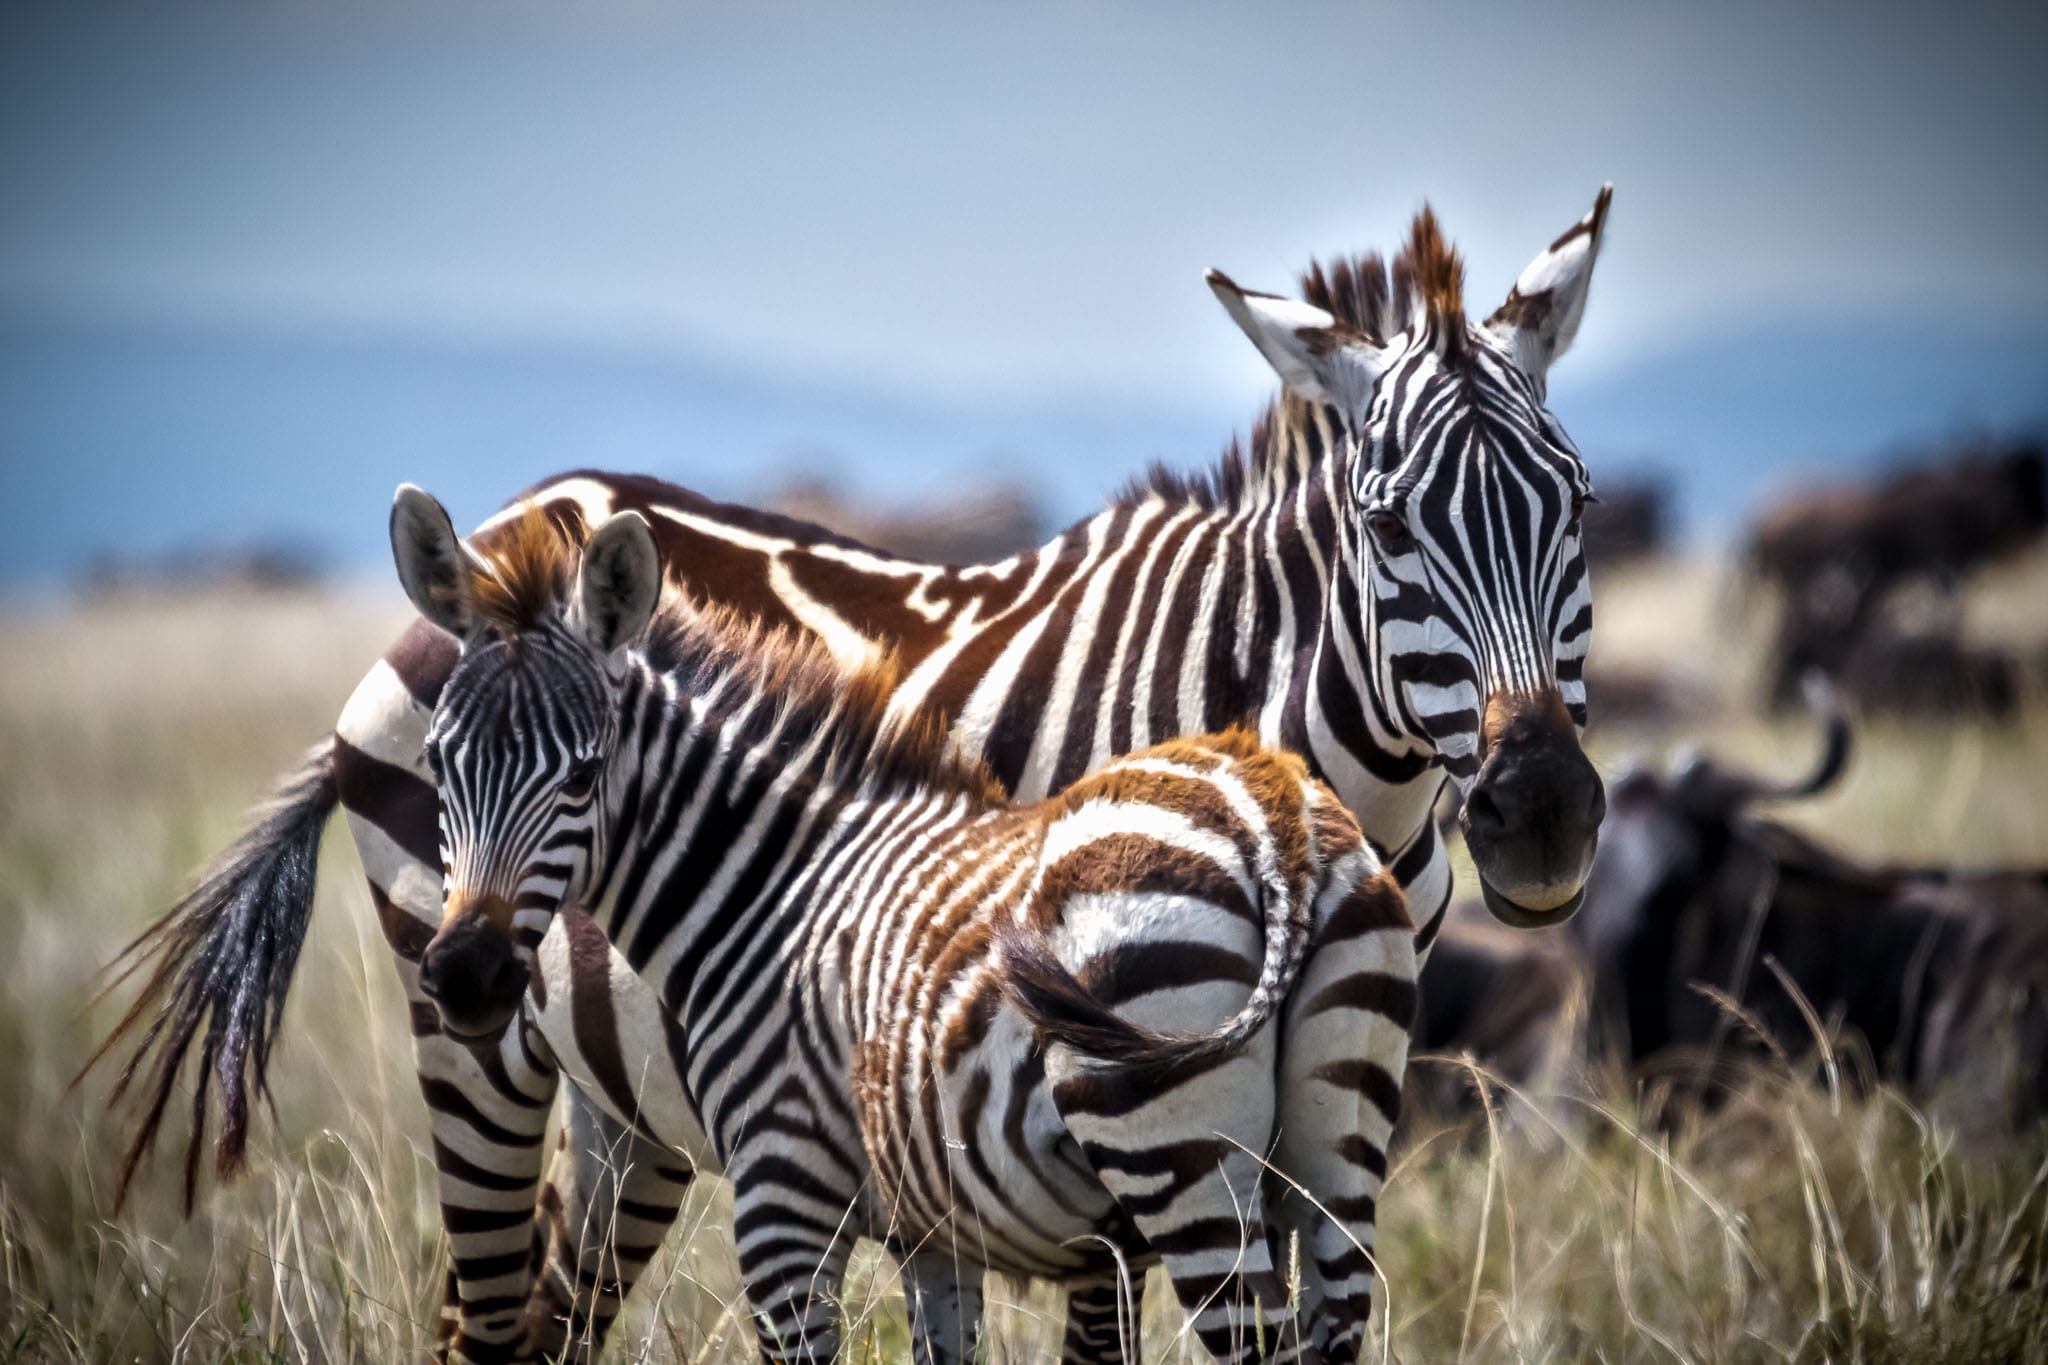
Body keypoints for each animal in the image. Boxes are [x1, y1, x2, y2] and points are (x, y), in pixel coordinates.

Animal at [406, 490, 1415, 1362]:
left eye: (582, 775)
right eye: (436, 763)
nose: (464, 976)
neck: (773, 886)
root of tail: (1274, 815)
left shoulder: (782, 1194)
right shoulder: (935, 1235)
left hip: (1182, 1157)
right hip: (1336, 1148)